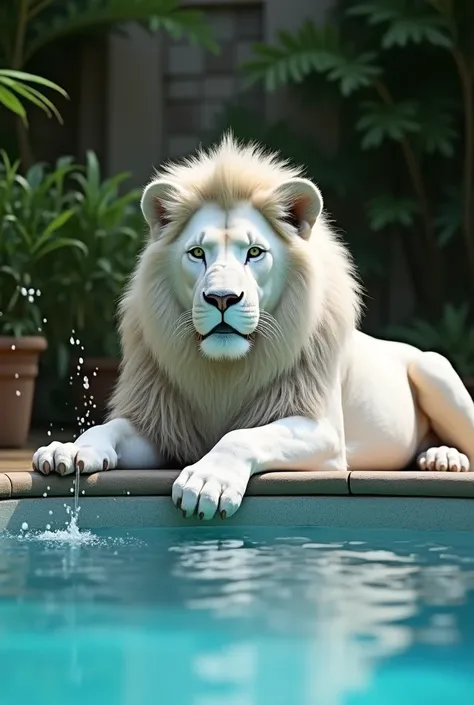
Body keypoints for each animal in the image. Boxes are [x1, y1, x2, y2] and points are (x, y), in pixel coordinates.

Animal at [33, 133, 474, 516]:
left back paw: (444, 456)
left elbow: (243, 435)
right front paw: (69, 450)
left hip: (435, 370)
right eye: (197, 253)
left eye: (255, 252)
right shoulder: (164, 427)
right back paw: (438, 456)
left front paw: (206, 482)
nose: (222, 298)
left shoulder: (324, 433)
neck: (224, 372)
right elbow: (110, 428)